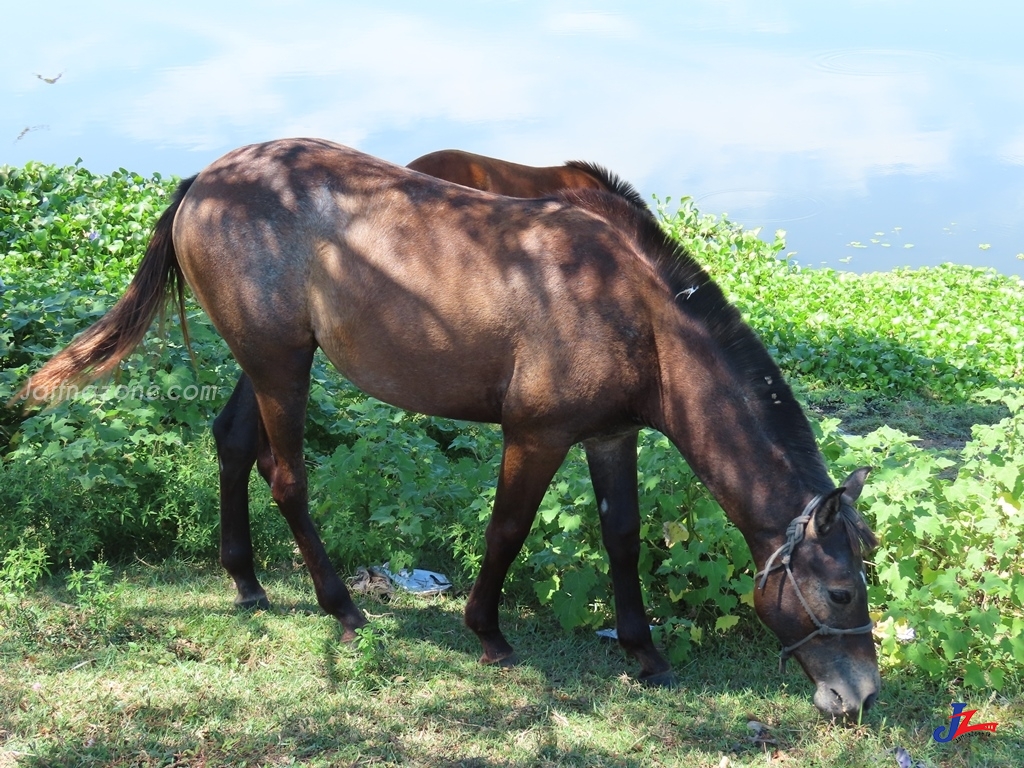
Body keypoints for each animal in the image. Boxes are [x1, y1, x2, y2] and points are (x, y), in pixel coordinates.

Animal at [14, 140, 880, 720]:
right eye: (840, 592)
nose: (863, 696)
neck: (634, 309)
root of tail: (206, 180)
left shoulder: (610, 437)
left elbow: (623, 537)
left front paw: (644, 651)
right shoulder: (535, 437)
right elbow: (506, 530)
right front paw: (487, 632)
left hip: (269, 361)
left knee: (232, 443)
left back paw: (247, 581)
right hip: (281, 368)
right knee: (286, 477)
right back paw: (341, 608)